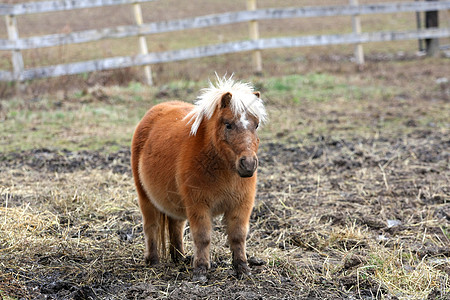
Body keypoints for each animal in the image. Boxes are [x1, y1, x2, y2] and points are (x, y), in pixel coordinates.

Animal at [130, 75, 268, 282]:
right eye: (228, 124)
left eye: (256, 125)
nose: (248, 164)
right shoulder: (199, 205)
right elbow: (202, 237)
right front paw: (201, 270)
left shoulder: (241, 205)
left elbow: (238, 236)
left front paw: (242, 269)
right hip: (146, 198)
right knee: (151, 226)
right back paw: (153, 261)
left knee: (175, 226)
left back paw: (180, 258)